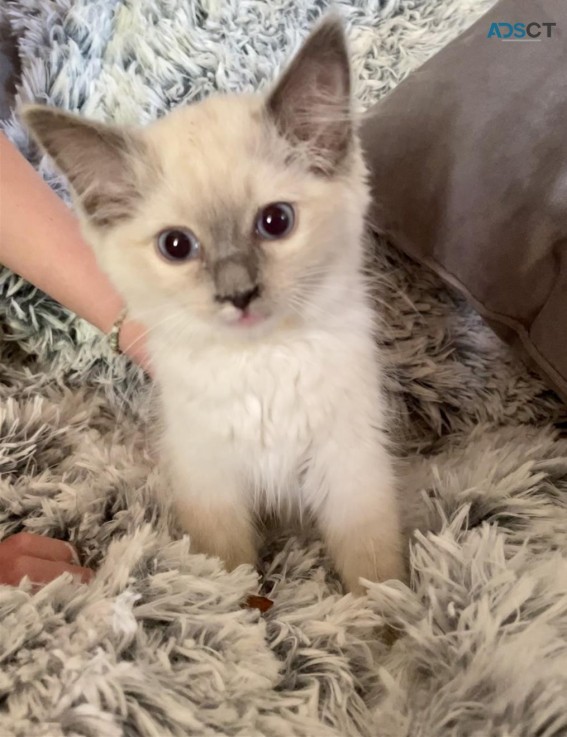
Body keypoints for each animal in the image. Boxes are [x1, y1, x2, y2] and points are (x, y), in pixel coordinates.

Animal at [22, 15, 404, 592]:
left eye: (276, 222)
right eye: (177, 246)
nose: (238, 294)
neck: (260, 361)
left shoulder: (350, 464)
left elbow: (373, 571)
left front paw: (389, 616)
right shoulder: (211, 484)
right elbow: (226, 577)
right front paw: (241, 607)